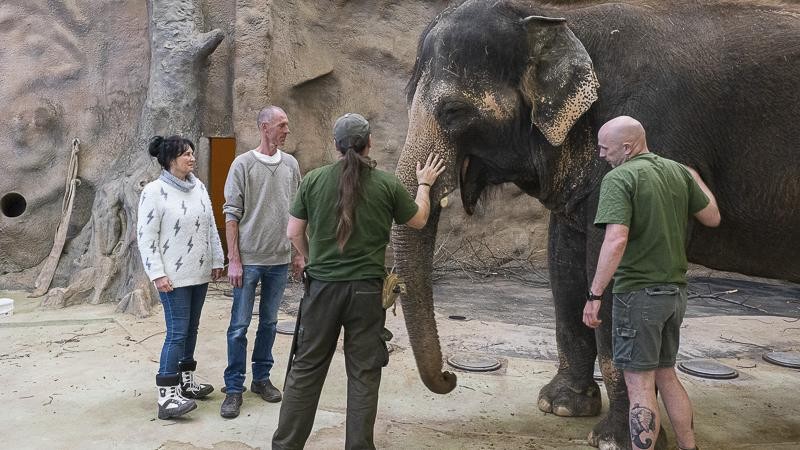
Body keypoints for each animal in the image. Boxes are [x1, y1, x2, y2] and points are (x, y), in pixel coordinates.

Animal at [392, 1, 800, 448]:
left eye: (454, 111)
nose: (449, 377)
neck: (562, 21)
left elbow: (609, 262)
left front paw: (613, 439)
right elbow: (564, 260)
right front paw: (560, 406)